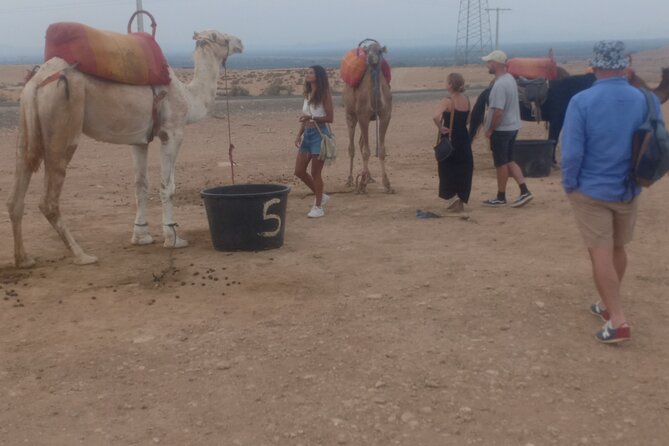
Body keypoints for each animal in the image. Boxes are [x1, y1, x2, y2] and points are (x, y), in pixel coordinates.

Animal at [8, 31, 243, 268]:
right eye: (221, 38)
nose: (240, 42)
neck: (188, 97)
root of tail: (36, 82)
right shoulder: (172, 133)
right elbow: (168, 186)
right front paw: (173, 239)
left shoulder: (139, 141)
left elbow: (140, 185)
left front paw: (141, 236)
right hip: (62, 124)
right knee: (48, 200)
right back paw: (82, 255)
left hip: (26, 125)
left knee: (16, 191)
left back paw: (24, 259)